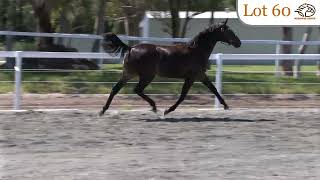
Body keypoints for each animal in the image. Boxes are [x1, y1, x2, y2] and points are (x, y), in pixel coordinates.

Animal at [99, 19, 241, 115]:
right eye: (229, 31)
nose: (238, 43)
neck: (196, 51)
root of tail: (131, 48)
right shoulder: (193, 76)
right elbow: (183, 95)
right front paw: (168, 110)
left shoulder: (200, 75)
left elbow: (213, 89)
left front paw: (226, 106)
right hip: (146, 76)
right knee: (136, 89)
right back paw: (154, 107)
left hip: (129, 74)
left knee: (115, 89)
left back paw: (103, 110)